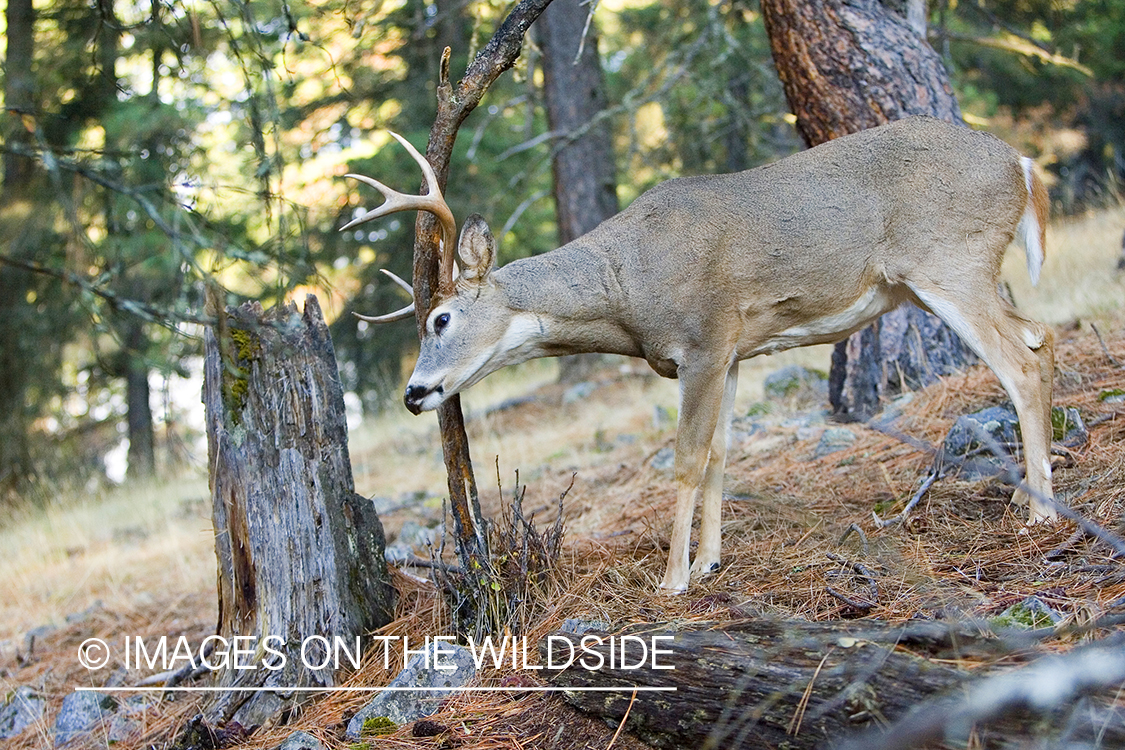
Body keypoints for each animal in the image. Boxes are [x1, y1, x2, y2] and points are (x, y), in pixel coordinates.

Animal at [342, 117, 1053, 593]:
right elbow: (719, 452)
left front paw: (674, 578)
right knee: (1040, 340)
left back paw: (1040, 511)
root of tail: (1022, 164)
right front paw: (711, 560)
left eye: (441, 318)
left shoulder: (704, 342)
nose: (413, 393)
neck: (624, 287)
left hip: (949, 262)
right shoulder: (734, 350)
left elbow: (685, 459)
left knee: (1020, 363)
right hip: (956, 275)